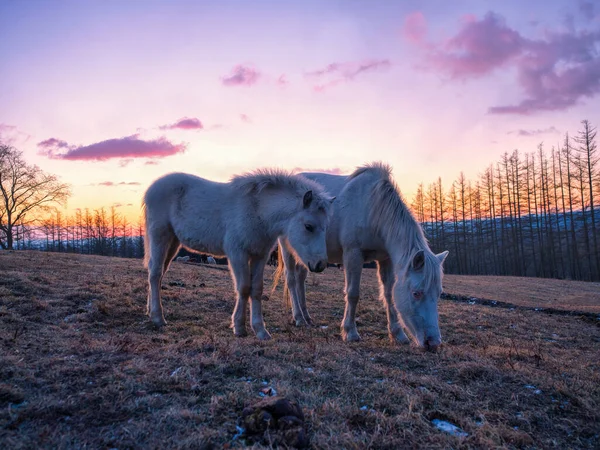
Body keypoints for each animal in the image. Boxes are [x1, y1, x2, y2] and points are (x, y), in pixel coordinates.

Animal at [144, 171, 336, 340]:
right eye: (308, 226)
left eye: (326, 226)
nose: (320, 264)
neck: (257, 211)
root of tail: (151, 188)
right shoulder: (238, 254)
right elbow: (243, 288)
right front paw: (239, 327)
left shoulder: (260, 256)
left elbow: (256, 289)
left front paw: (260, 330)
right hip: (160, 236)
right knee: (155, 274)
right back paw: (158, 318)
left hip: (173, 242)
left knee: (159, 272)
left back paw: (149, 311)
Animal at [274, 163, 448, 350]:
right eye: (416, 293)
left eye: (438, 293)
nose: (433, 342)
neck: (373, 207)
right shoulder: (353, 254)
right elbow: (353, 293)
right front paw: (350, 332)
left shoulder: (385, 259)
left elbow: (388, 294)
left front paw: (397, 334)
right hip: (287, 248)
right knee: (291, 280)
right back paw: (299, 318)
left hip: (307, 255)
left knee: (300, 279)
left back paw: (306, 317)